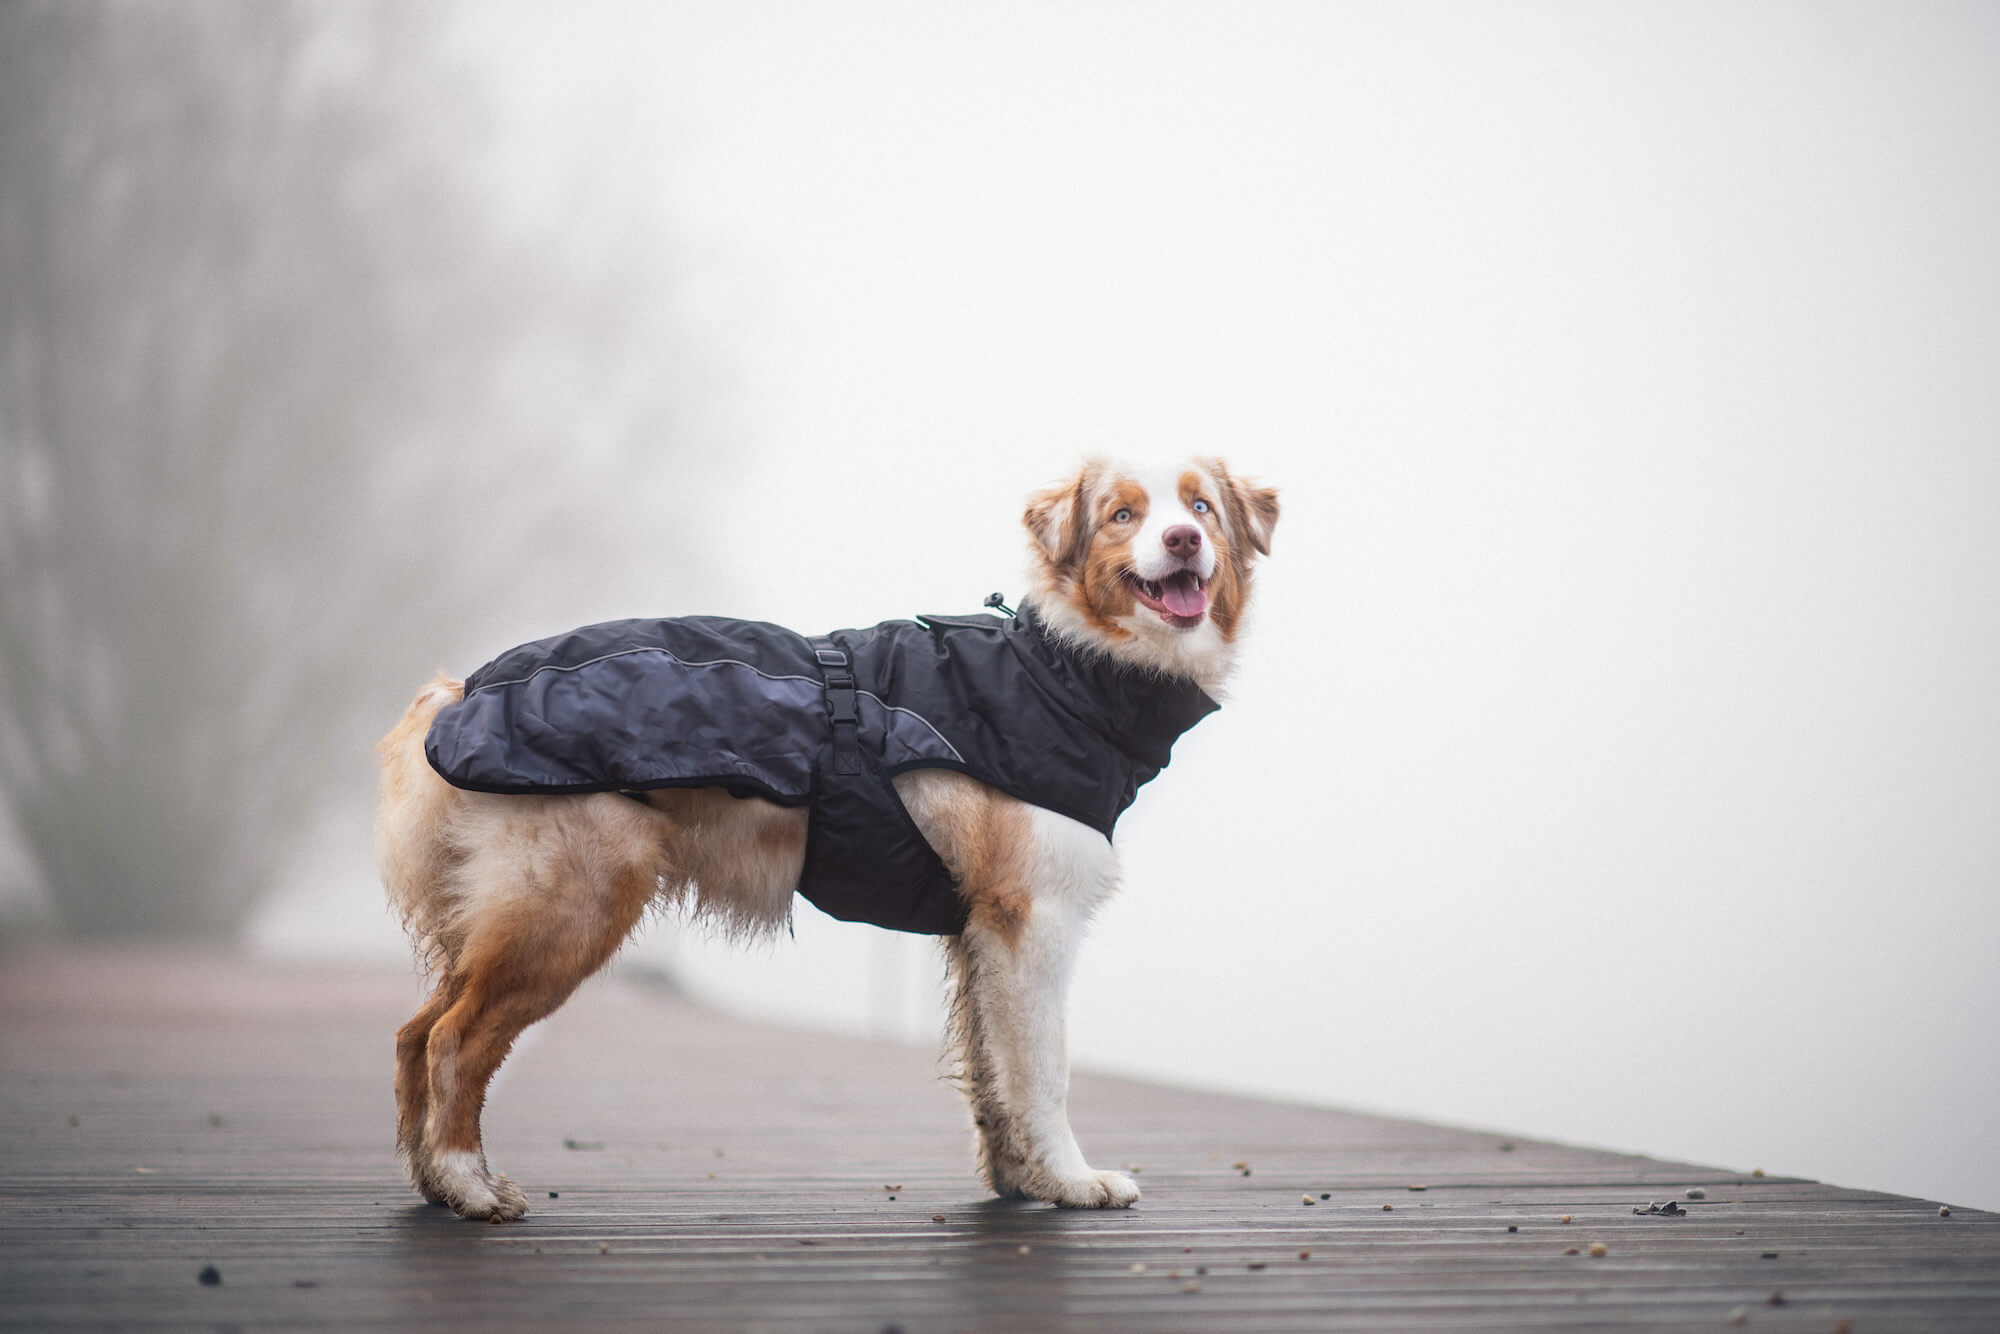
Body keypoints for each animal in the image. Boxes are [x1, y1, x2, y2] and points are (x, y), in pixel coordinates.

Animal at [376, 460, 1280, 1224]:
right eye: (1125, 514)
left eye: (1201, 507)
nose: (1183, 540)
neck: (1061, 672)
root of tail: (461, 689)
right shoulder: (1034, 919)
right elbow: (1043, 1068)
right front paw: (1071, 1182)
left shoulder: (980, 932)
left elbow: (993, 1073)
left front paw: (1019, 1179)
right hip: (571, 905)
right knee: (456, 1038)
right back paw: (467, 1184)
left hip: (501, 916)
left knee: (415, 1032)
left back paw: (433, 1181)